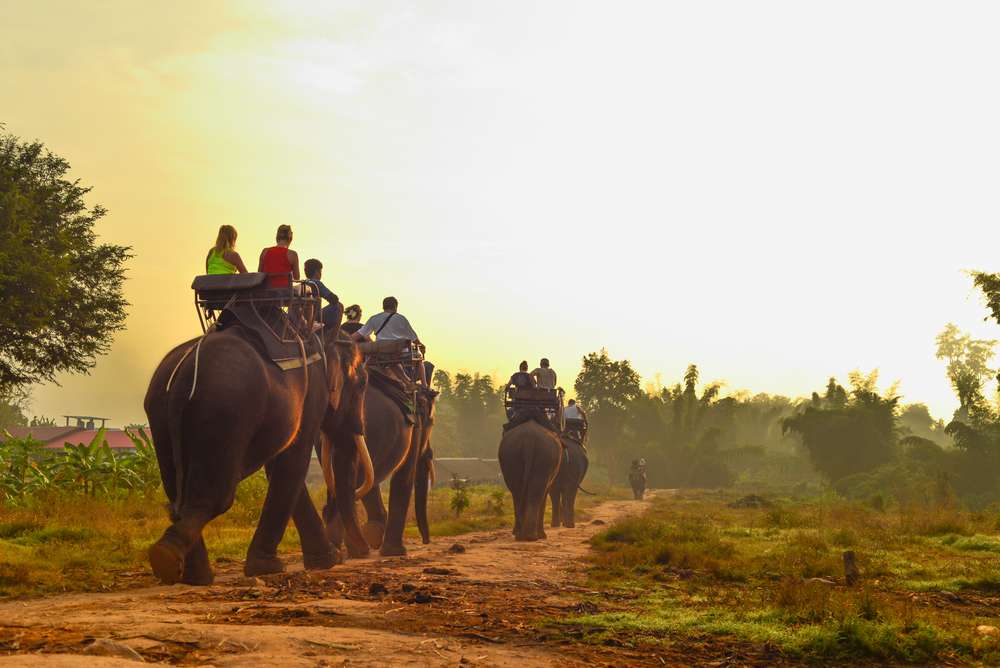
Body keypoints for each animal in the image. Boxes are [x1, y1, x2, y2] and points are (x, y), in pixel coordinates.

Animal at [142, 324, 372, 584]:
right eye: (363, 384)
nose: (362, 552)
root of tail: (185, 372)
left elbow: (278, 467)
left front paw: (324, 560)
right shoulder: (312, 395)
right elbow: (294, 461)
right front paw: (273, 567)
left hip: (160, 412)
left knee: (176, 496)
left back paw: (193, 576)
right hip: (225, 410)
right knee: (215, 498)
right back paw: (168, 558)